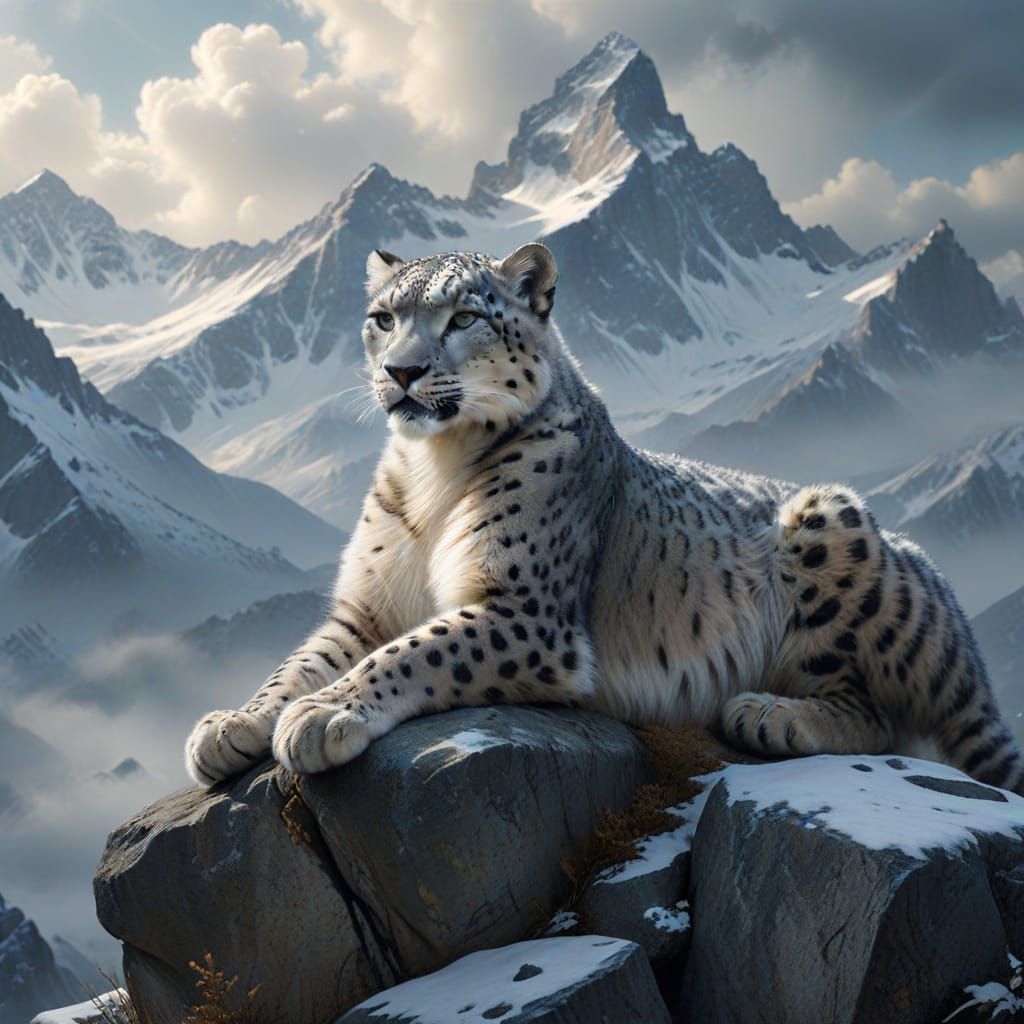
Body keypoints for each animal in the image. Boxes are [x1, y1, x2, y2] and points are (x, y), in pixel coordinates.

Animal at [185, 243, 1024, 796]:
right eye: (383, 317)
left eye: (464, 316)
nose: (401, 371)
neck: (433, 472)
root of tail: (931, 568)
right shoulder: (364, 606)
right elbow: (302, 659)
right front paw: (234, 722)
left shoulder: (525, 611)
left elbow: (412, 653)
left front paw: (322, 715)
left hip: (828, 520)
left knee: (881, 716)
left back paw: (769, 714)